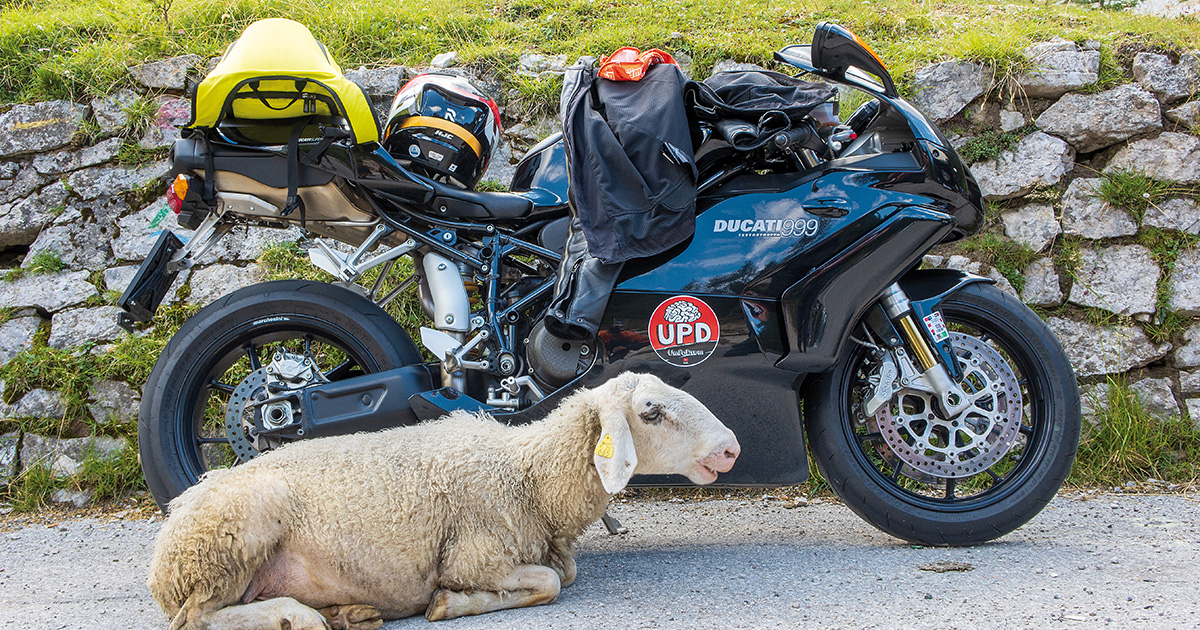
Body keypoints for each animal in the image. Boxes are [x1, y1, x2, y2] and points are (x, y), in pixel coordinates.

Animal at [145, 372, 734, 624]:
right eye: (651, 412)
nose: (731, 448)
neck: (529, 475)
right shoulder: (475, 554)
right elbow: (548, 582)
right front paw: (449, 603)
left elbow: (562, 574)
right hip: (227, 544)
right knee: (194, 621)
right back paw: (301, 616)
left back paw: (348, 613)